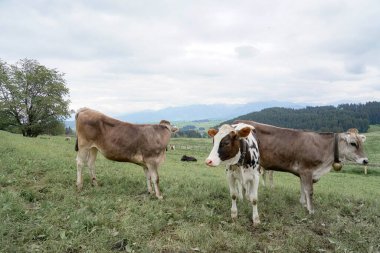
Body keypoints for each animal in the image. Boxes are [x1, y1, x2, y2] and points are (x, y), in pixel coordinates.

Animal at [235, 120, 368, 213]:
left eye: (362, 144)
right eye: (353, 143)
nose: (366, 160)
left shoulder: (303, 173)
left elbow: (303, 188)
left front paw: (303, 204)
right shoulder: (307, 170)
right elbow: (309, 190)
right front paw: (311, 210)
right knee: (240, 181)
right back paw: (244, 197)